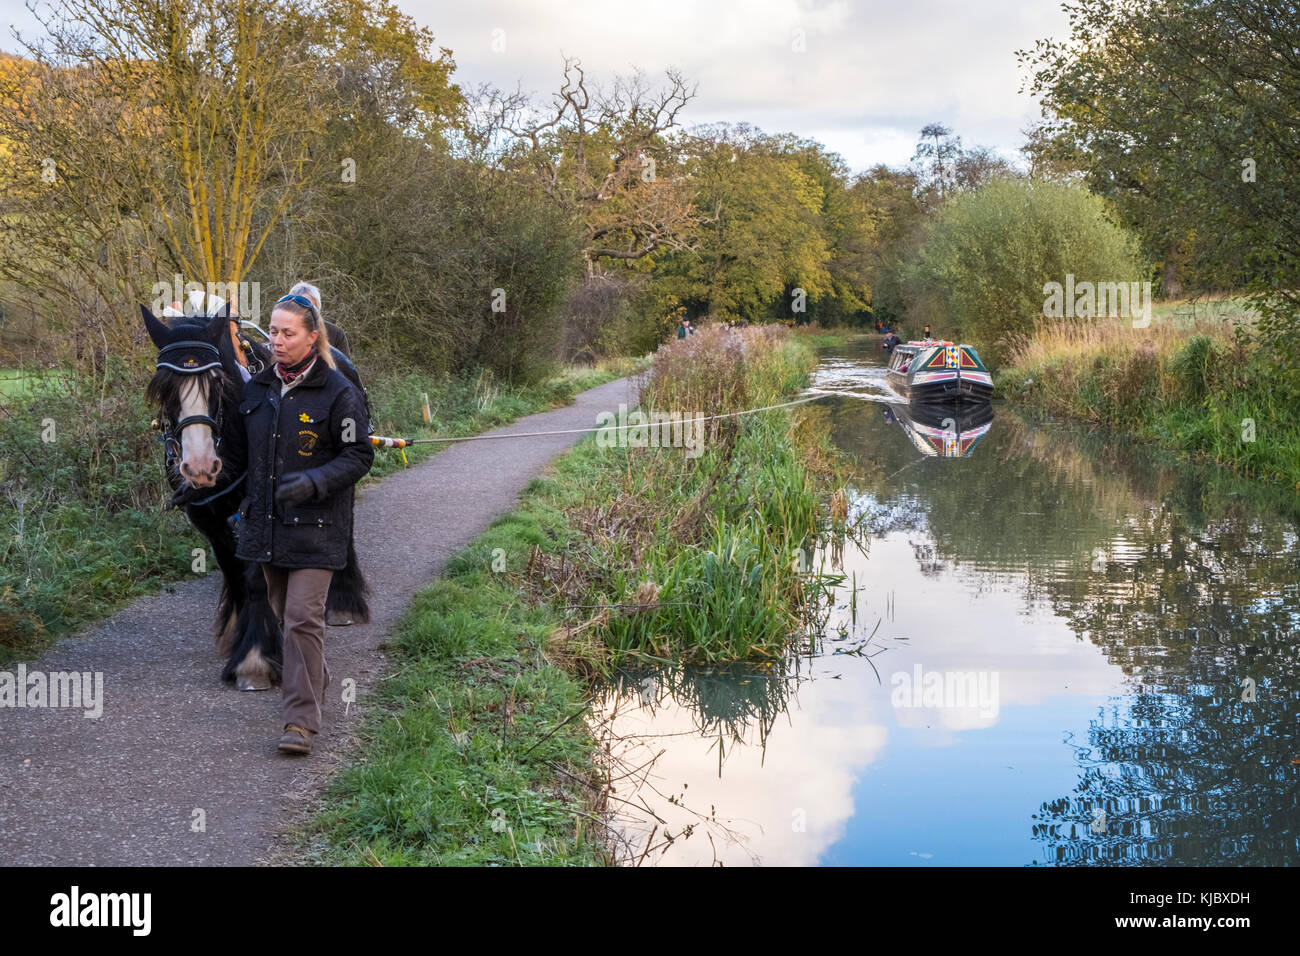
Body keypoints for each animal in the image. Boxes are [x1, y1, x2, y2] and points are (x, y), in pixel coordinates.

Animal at [144, 304, 374, 686]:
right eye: (163, 387)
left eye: (218, 383)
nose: (200, 466)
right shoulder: (207, 516)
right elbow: (233, 570)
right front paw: (238, 633)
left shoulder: (254, 506)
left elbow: (253, 577)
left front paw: (255, 658)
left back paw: (343, 600)